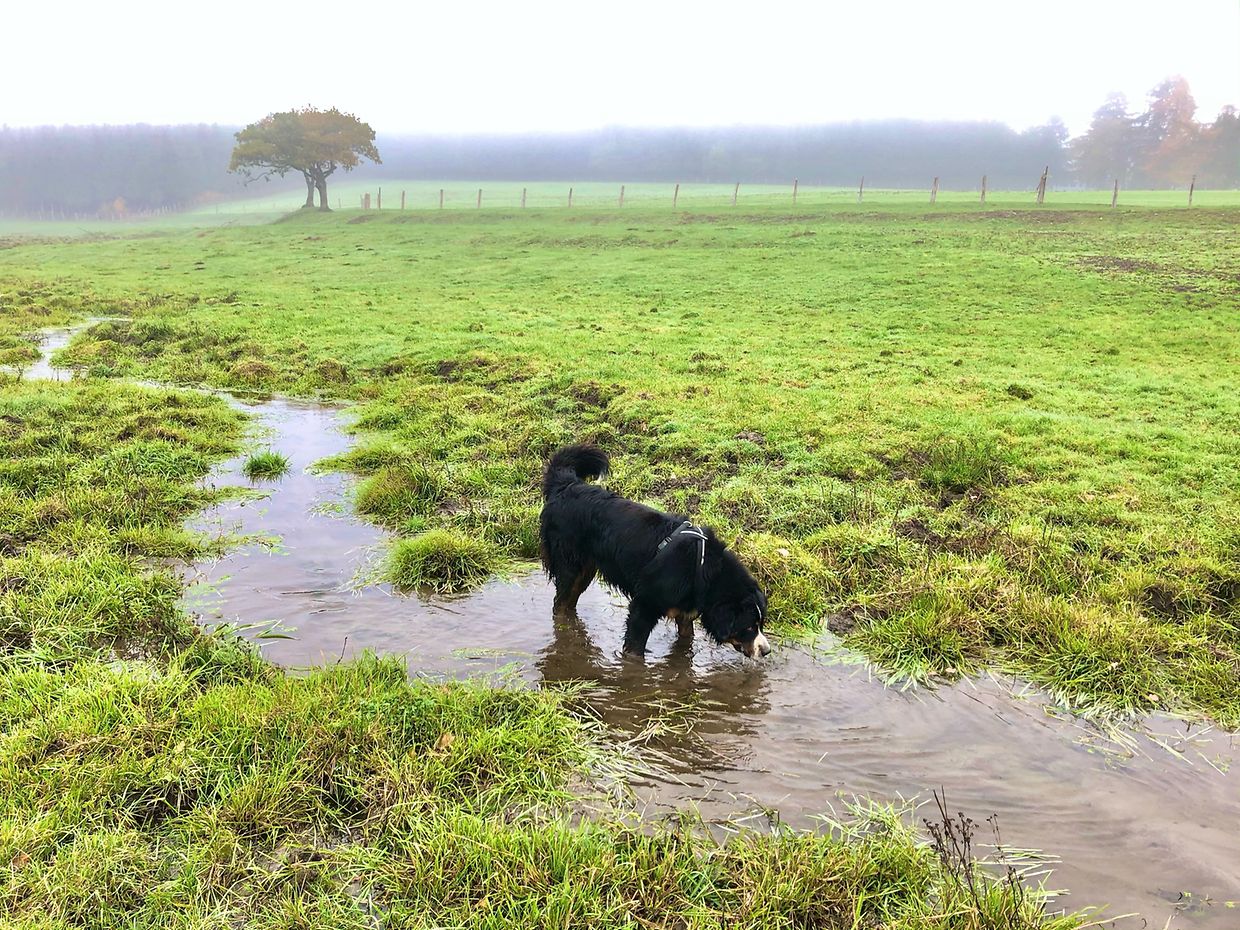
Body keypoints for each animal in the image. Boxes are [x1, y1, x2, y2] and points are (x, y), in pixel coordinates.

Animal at [539, 444, 770, 658]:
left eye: (761, 624)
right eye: (749, 626)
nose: (766, 650)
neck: (701, 567)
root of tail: (567, 486)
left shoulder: (685, 613)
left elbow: (686, 641)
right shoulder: (645, 606)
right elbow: (635, 648)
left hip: (585, 570)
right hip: (569, 565)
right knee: (560, 604)